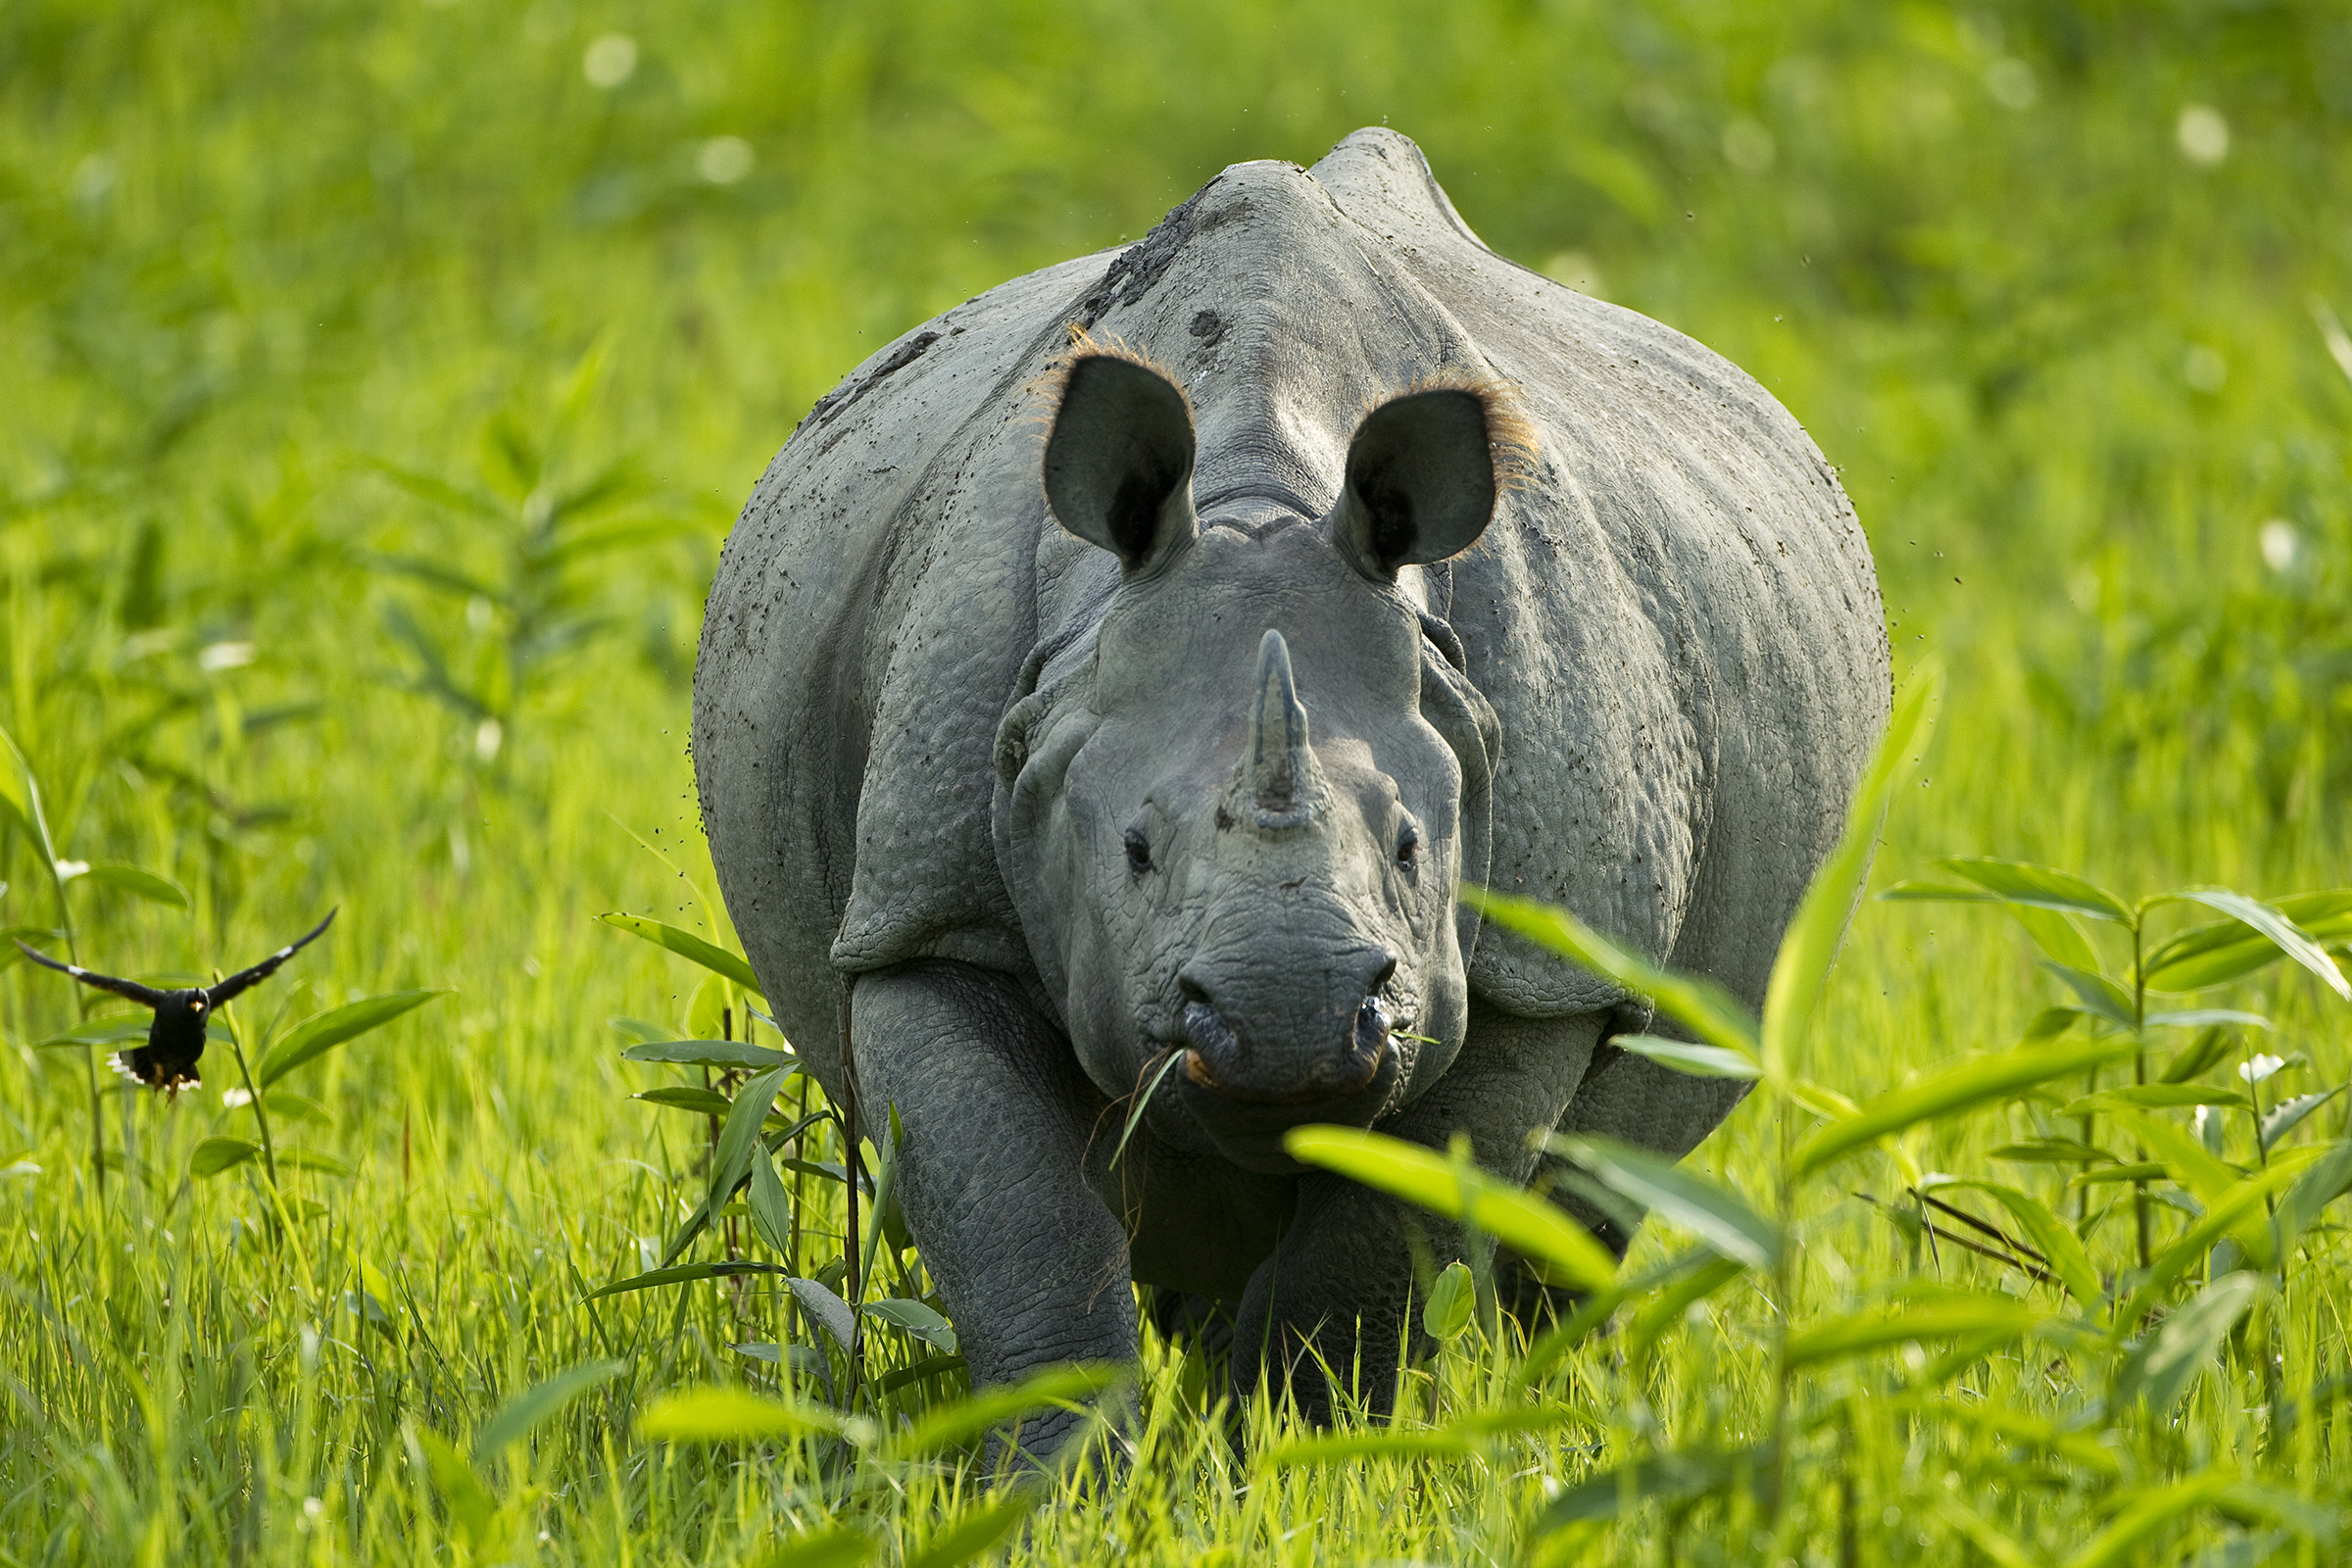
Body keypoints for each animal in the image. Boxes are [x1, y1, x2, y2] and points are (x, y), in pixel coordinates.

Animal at [693, 127, 1888, 1449]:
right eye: (1135, 851)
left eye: (1415, 846)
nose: (1289, 1016)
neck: (1253, 494)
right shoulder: (929, 910)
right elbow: (1025, 1236)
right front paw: (1057, 1477)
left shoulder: (1541, 972)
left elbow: (1373, 1251)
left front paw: (1306, 1452)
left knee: (1591, 1201)